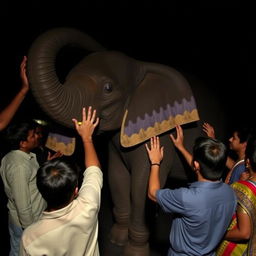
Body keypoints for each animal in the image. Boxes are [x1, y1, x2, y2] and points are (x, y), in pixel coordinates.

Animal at [27, 27, 225, 255]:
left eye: (108, 88)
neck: (140, 65)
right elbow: (117, 176)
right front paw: (117, 240)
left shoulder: (160, 133)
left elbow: (140, 185)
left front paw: (135, 250)